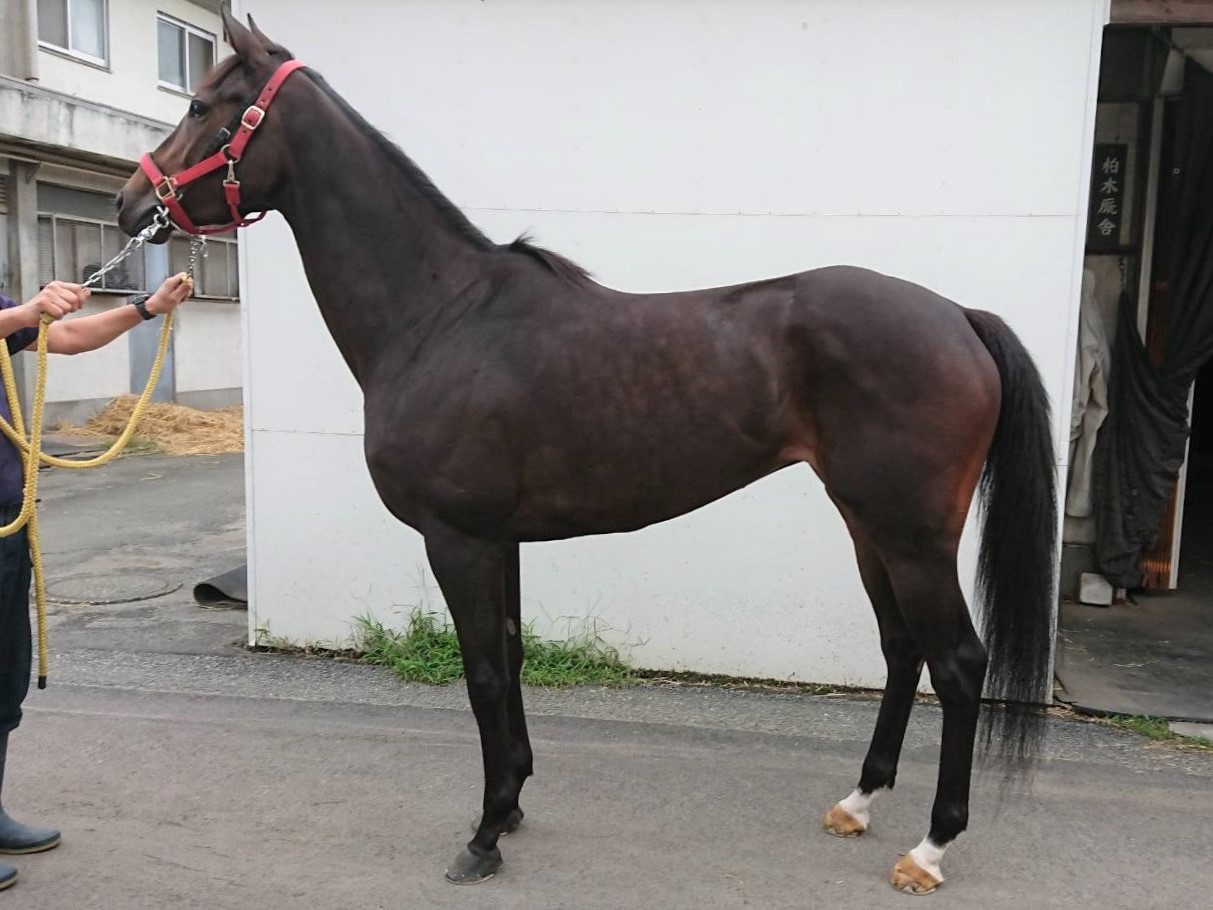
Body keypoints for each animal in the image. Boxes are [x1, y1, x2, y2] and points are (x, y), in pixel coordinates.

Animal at [117, 6, 1057, 895]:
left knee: (957, 663)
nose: (132, 204)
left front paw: (484, 835)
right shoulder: (501, 540)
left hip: (910, 536)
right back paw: (856, 804)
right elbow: (511, 656)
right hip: (867, 526)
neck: (440, 314)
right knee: (902, 651)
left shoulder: (458, 539)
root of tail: (957, 315)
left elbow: (482, 673)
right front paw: (514, 801)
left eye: (200, 106)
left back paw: (929, 849)